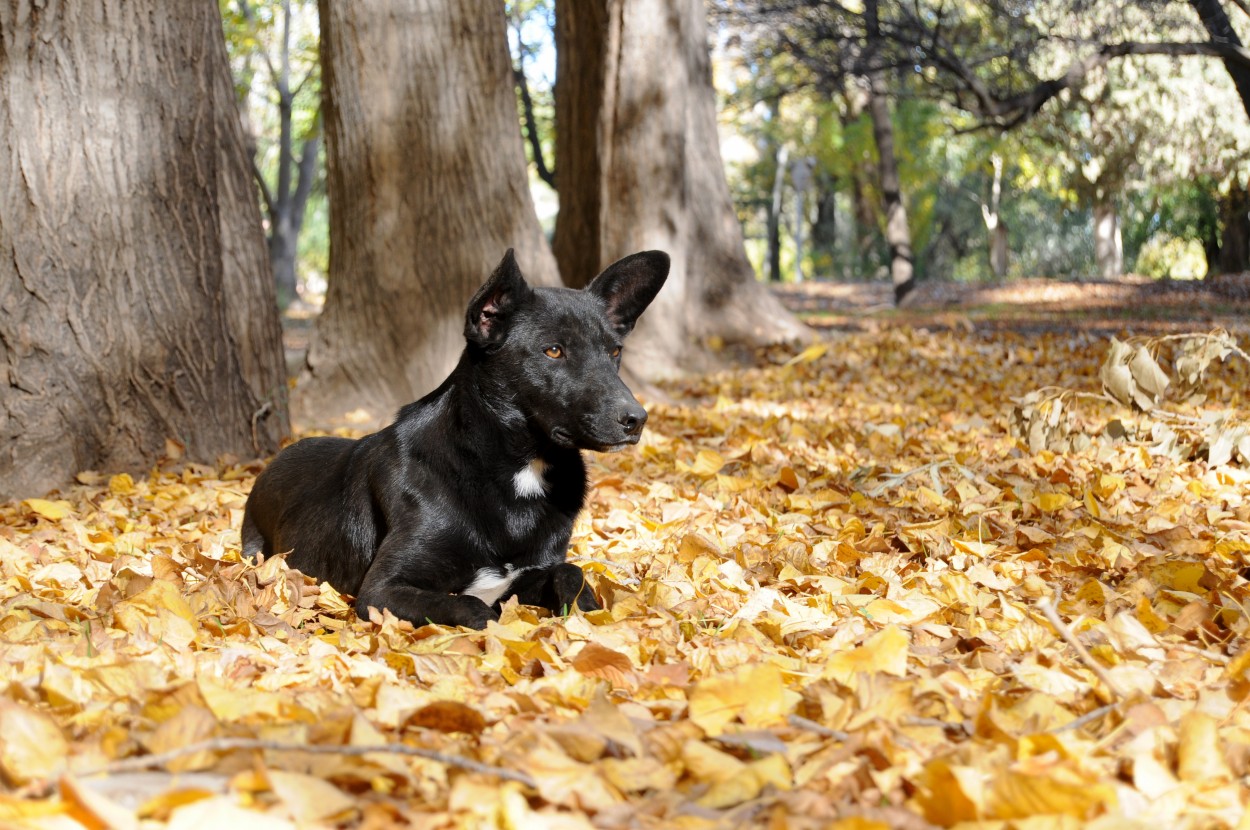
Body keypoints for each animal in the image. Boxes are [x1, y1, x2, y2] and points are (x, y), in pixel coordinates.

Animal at [246, 250, 675, 625]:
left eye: (615, 352)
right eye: (553, 351)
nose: (636, 419)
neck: (516, 468)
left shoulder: (531, 571)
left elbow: (572, 574)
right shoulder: (382, 590)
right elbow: (474, 608)